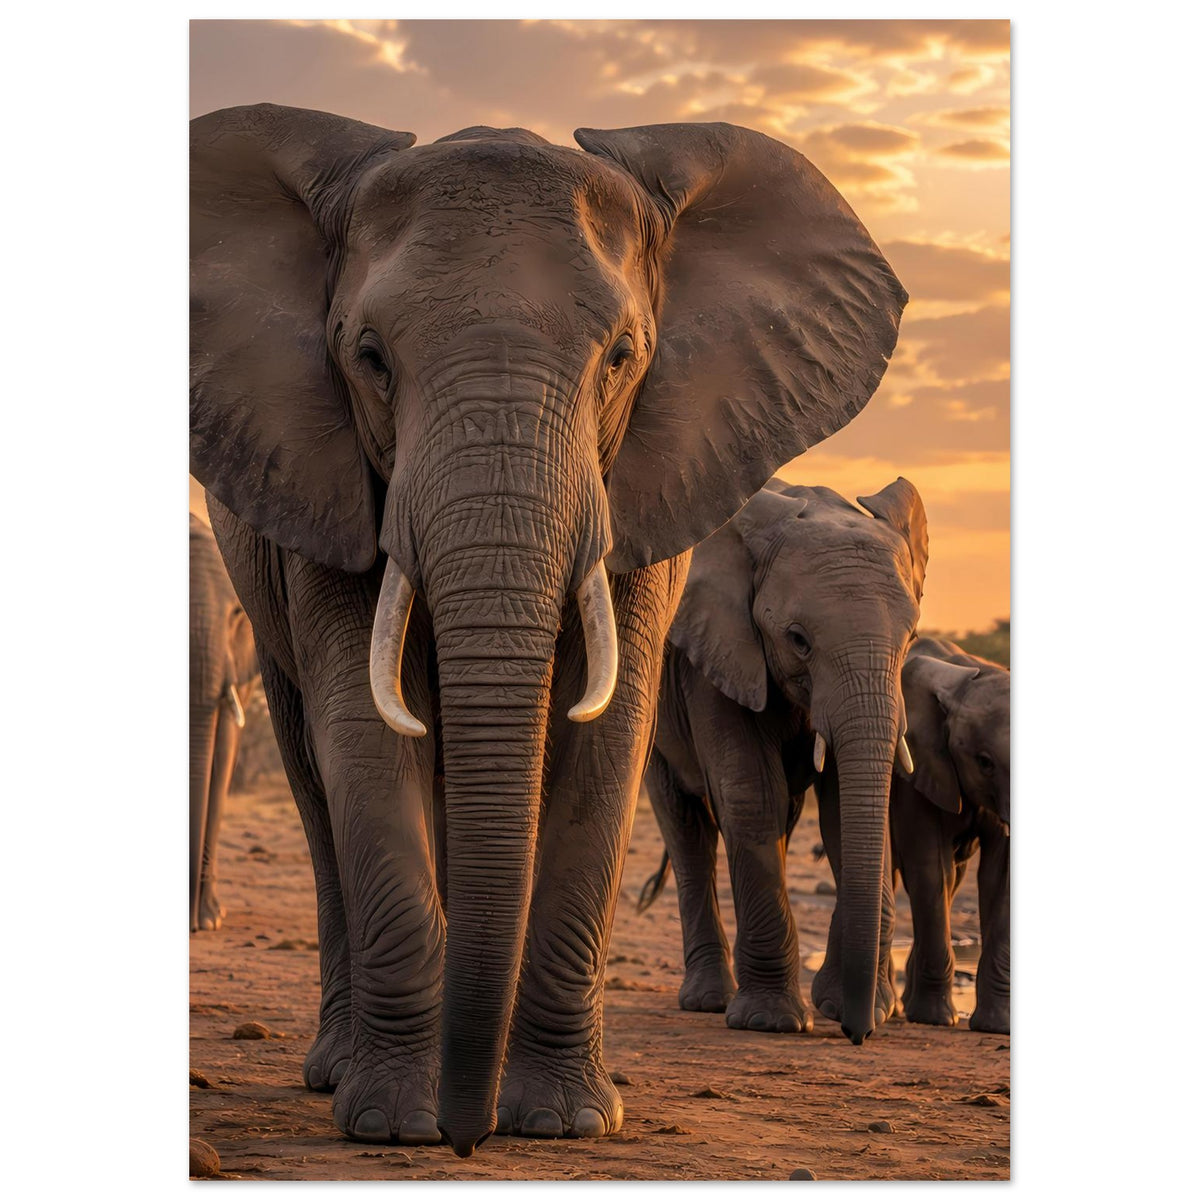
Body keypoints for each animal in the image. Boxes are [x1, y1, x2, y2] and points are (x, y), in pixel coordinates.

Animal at [641, 477, 927, 1043]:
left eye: (910, 638)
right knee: (686, 827)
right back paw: (708, 1001)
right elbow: (751, 794)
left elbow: (843, 809)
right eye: (798, 639)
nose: (859, 1035)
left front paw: (853, 1007)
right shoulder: (715, 657)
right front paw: (768, 1023)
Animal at [889, 637, 1010, 1034]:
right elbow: (929, 867)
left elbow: (1000, 878)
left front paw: (996, 1027)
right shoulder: (916, 770)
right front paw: (935, 1019)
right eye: (984, 762)